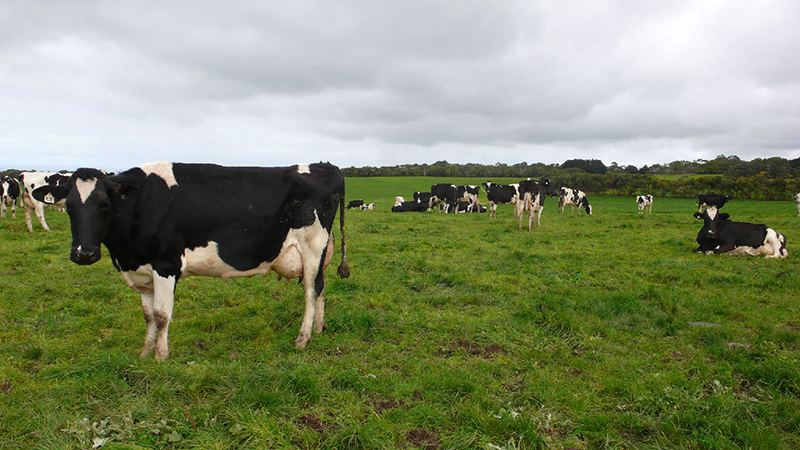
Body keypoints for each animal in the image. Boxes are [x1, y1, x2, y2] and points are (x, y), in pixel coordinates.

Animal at [32, 162, 350, 362]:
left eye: (104, 205)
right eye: (70, 207)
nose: (83, 254)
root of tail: (326, 166)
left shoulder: (166, 264)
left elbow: (162, 315)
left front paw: (161, 357)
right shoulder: (143, 271)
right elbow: (148, 316)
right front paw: (145, 353)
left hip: (312, 245)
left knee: (310, 290)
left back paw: (303, 338)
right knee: (320, 287)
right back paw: (319, 328)